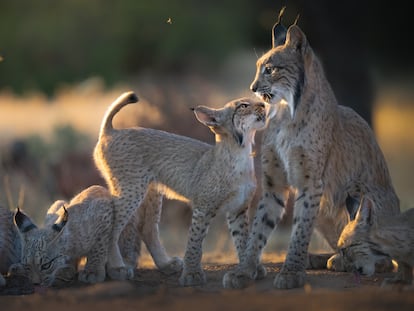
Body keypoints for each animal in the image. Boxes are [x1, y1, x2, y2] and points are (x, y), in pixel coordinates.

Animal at [92, 91, 270, 286]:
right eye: (243, 106)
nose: (263, 104)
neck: (242, 151)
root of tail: (112, 131)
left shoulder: (239, 208)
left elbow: (243, 239)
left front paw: (246, 271)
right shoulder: (203, 207)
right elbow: (195, 240)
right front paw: (192, 274)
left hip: (151, 191)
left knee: (148, 227)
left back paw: (166, 264)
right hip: (131, 189)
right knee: (114, 224)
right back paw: (117, 267)